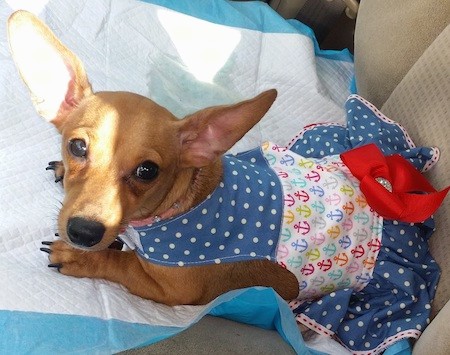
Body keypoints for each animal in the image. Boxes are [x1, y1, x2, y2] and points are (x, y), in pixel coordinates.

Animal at [7, 11, 298, 306]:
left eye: (147, 171)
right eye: (77, 147)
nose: (84, 233)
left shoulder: (172, 289)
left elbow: (121, 262)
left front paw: (80, 257)